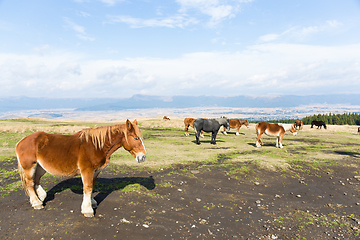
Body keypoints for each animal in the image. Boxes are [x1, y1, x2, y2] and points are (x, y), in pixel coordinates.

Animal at [15, 119, 145, 218]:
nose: (142, 157)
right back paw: (36, 203)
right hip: (30, 167)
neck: (96, 146)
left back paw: (41, 197)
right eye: (136, 138)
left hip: (40, 167)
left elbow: (92, 186)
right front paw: (88, 210)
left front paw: (92, 203)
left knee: (36, 180)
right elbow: (88, 188)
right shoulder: (87, 170)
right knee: (30, 183)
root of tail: (20, 142)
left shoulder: (95, 171)